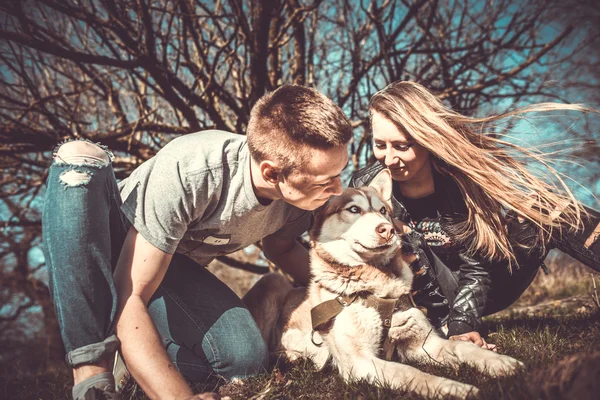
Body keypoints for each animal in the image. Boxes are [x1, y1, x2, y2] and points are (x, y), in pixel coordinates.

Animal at [243, 170, 520, 398]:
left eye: (384, 211)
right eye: (354, 210)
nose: (388, 229)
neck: (376, 286)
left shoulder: (424, 343)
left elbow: (462, 347)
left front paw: (497, 361)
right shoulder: (359, 361)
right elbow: (409, 372)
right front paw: (452, 387)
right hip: (272, 280)